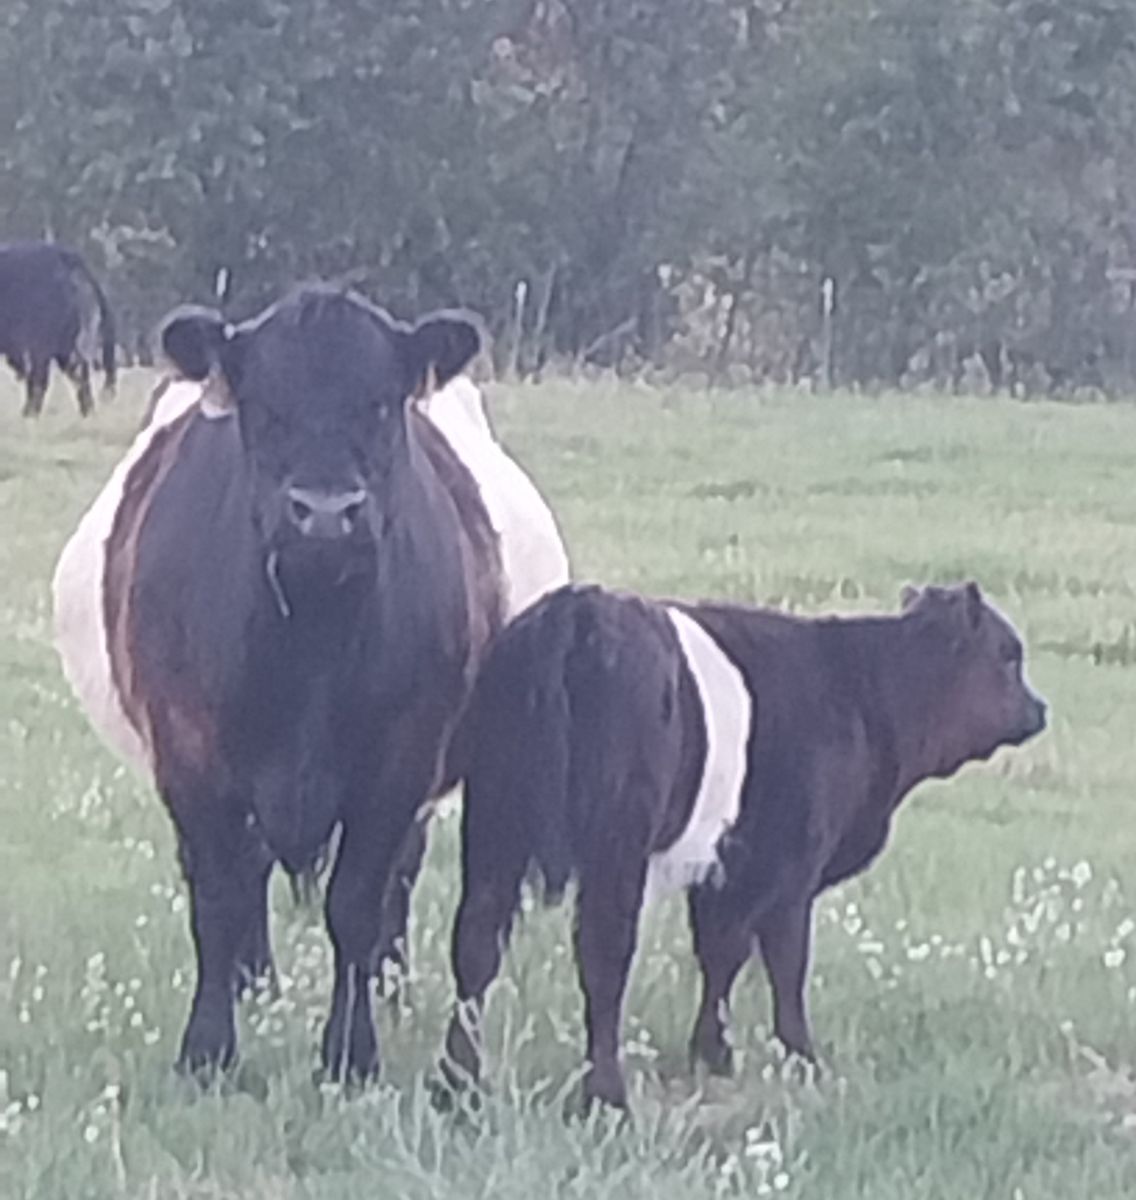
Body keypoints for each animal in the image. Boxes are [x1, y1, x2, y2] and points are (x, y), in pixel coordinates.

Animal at [0, 241, 117, 416]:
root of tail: (63, 256)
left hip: (42, 345)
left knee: (40, 380)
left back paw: (28, 414)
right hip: (63, 346)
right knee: (79, 373)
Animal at [51, 283, 552, 1082]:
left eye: (379, 403)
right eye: (263, 405)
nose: (323, 513)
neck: (309, 642)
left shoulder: (400, 763)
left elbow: (358, 902)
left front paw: (351, 1053)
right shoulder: (189, 755)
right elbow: (220, 898)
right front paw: (209, 1051)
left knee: (397, 879)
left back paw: (390, 986)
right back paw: (256, 988)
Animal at [440, 581, 1048, 1110]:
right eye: (1007, 655)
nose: (1038, 709)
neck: (861, 687)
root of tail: (579, 609)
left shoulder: (726, 871)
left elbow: (720, 954)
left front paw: (713, 1054)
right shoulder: (788, 869)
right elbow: (783, 961)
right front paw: (801, 1057)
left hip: (494, 827)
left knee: (476, 944)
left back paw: (457, 1086)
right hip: (615, 847)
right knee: (603, 957)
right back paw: (605, 1097)